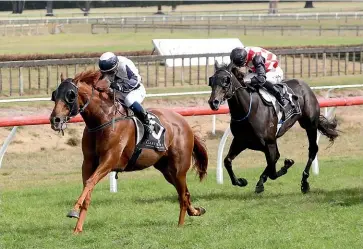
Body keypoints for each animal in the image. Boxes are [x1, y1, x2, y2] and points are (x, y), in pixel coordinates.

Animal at [49, 70, 208, 233]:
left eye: (71, 95)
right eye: (54, 95)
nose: (55, 120)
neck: (103, 119)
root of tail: (184, 123)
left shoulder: (109, 160)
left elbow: (90, 182)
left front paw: (73, 210)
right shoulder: (88, 162)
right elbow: (88, 188)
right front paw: (78, 228)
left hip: (179, 168)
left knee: (182, 195)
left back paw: (180, 225)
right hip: (166, 169)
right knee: (184, 192)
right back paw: (196, 211)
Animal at [209, 61, 340, 195]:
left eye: (226, 80)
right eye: (211, 81)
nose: (213, 102)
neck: (248, 110)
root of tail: (305, 86)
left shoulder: (269, 142)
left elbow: (273, 171)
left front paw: (286, 165)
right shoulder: (241, 141)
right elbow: (227, 161)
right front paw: (241, 181)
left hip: (310, 125)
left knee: (312, 150)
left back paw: (304, 182)